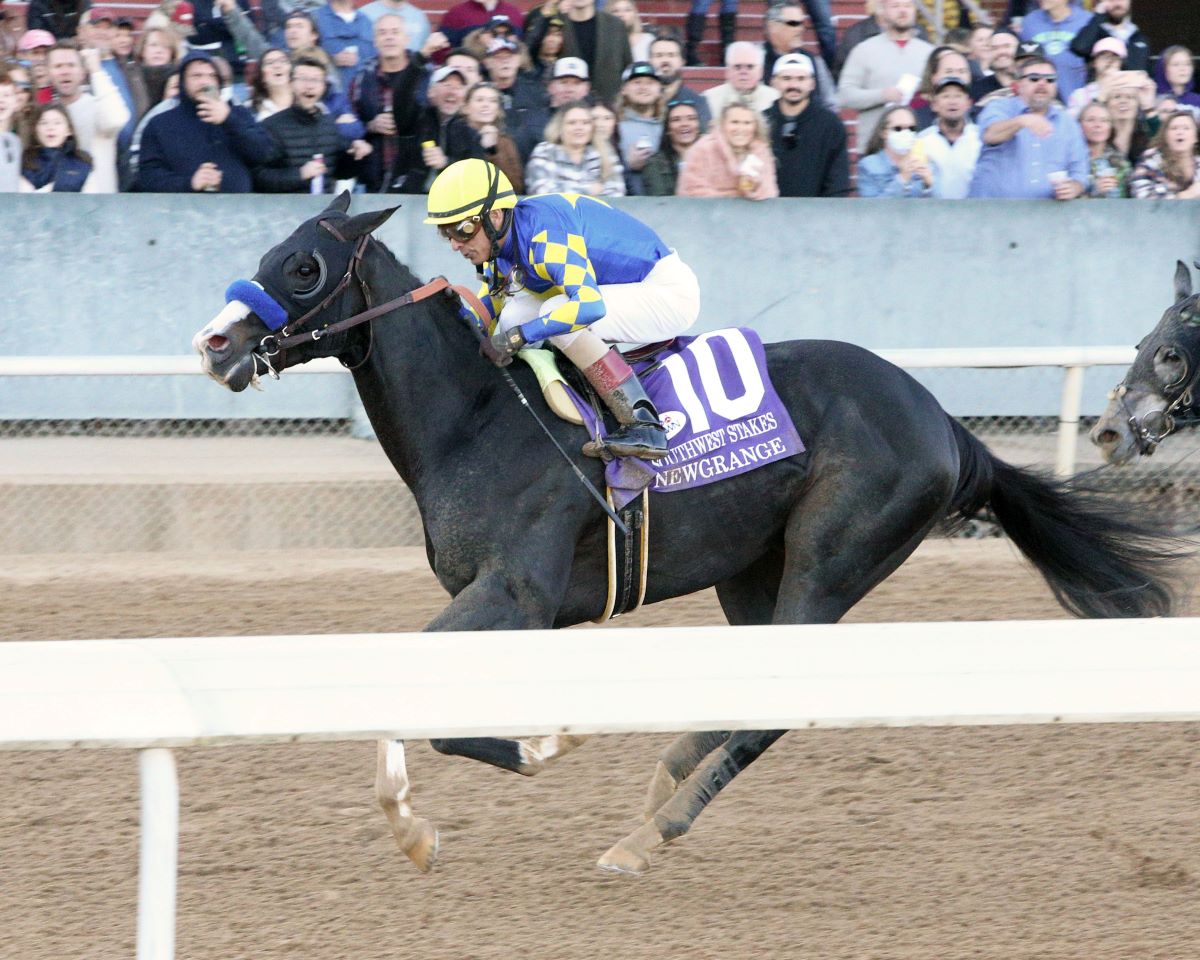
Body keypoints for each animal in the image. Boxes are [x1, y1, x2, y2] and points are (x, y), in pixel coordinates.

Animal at [196, 199, 1180, 873]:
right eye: (267, 254)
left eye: (303, 269)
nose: (214, 344)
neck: (479, 418)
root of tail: (944, 420)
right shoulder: (497, 603)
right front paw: (413, 828)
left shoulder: (516, 594)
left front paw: (544, 746)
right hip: (751, 572)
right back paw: (660, 783)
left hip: (830, 561)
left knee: (772, 709)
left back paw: (649, 834)